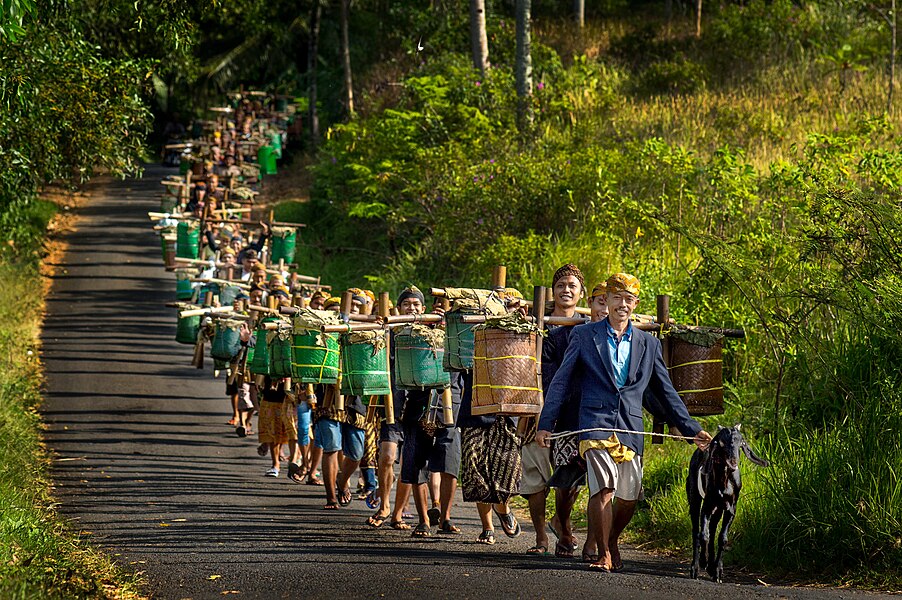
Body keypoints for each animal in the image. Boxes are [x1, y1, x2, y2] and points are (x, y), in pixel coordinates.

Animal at [692, 422, 768, 580]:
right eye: (722, 443)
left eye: (741, 443)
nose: (734, 461)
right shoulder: (707, 507)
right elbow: (703, 536)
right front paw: (703, 561)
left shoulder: (731, 509)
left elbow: (723, 538)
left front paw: (717, 570)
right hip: (695, 498)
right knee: (696, 531)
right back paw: (695, 567)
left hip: (719, 508)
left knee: (713, 528)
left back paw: (711, 567)